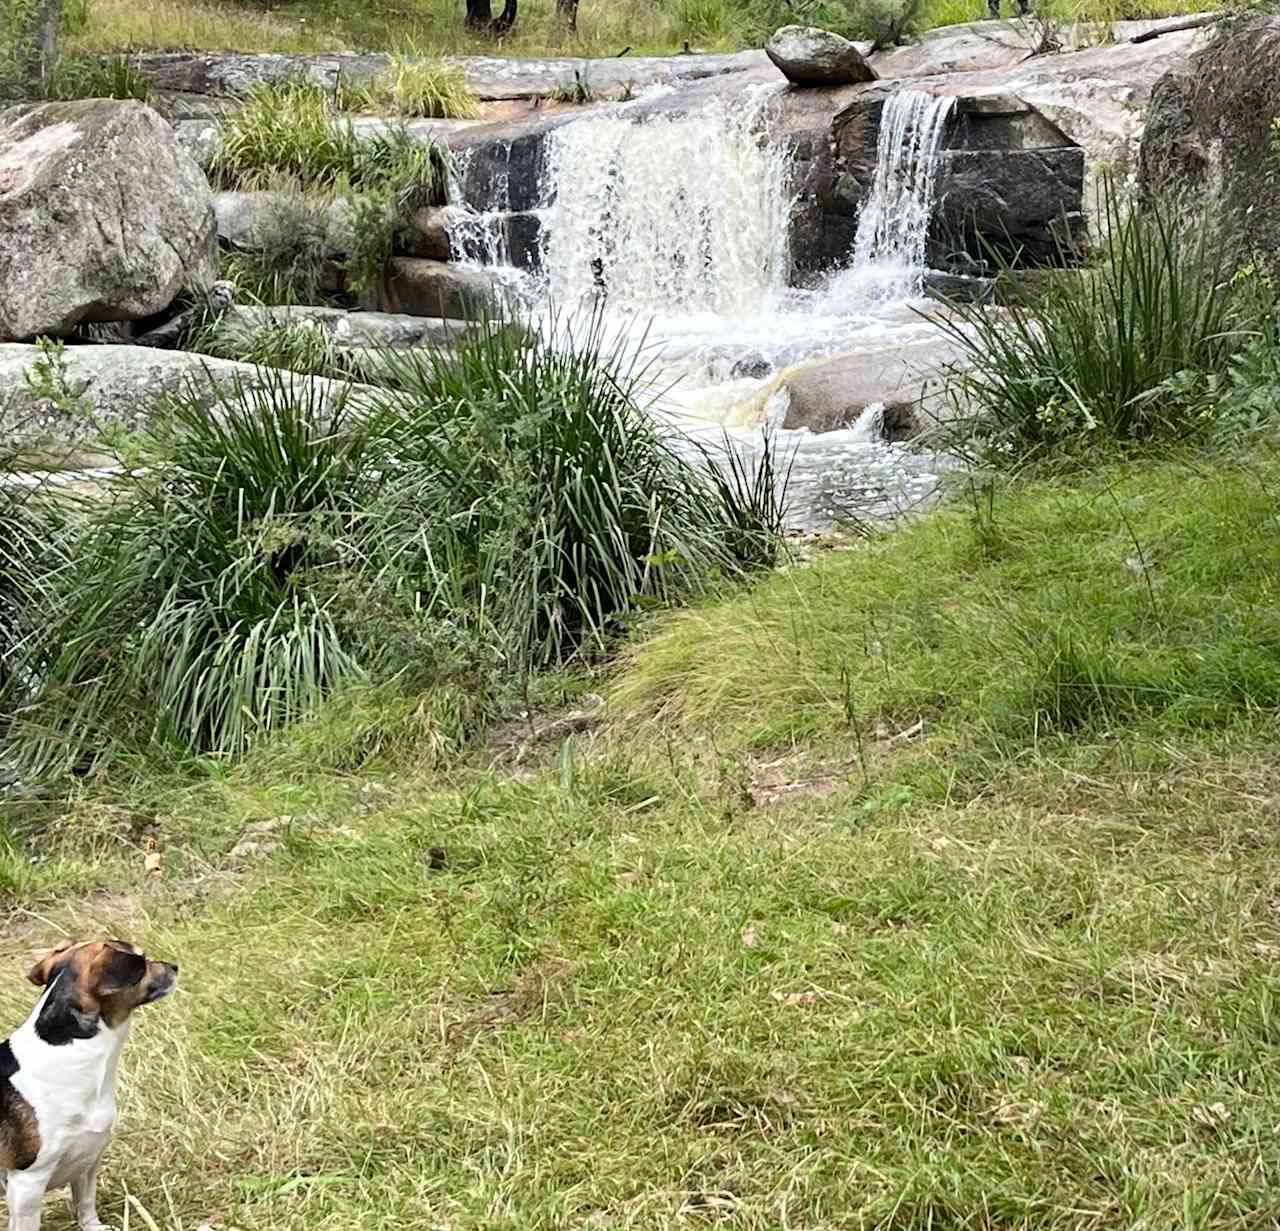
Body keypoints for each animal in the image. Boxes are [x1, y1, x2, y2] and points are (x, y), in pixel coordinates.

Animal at [0, 941, 177, 1228]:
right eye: (142, 960)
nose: (174, 966)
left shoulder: (87, 1159)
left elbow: (85, 1203)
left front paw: (94, 1227)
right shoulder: (27, 1182)